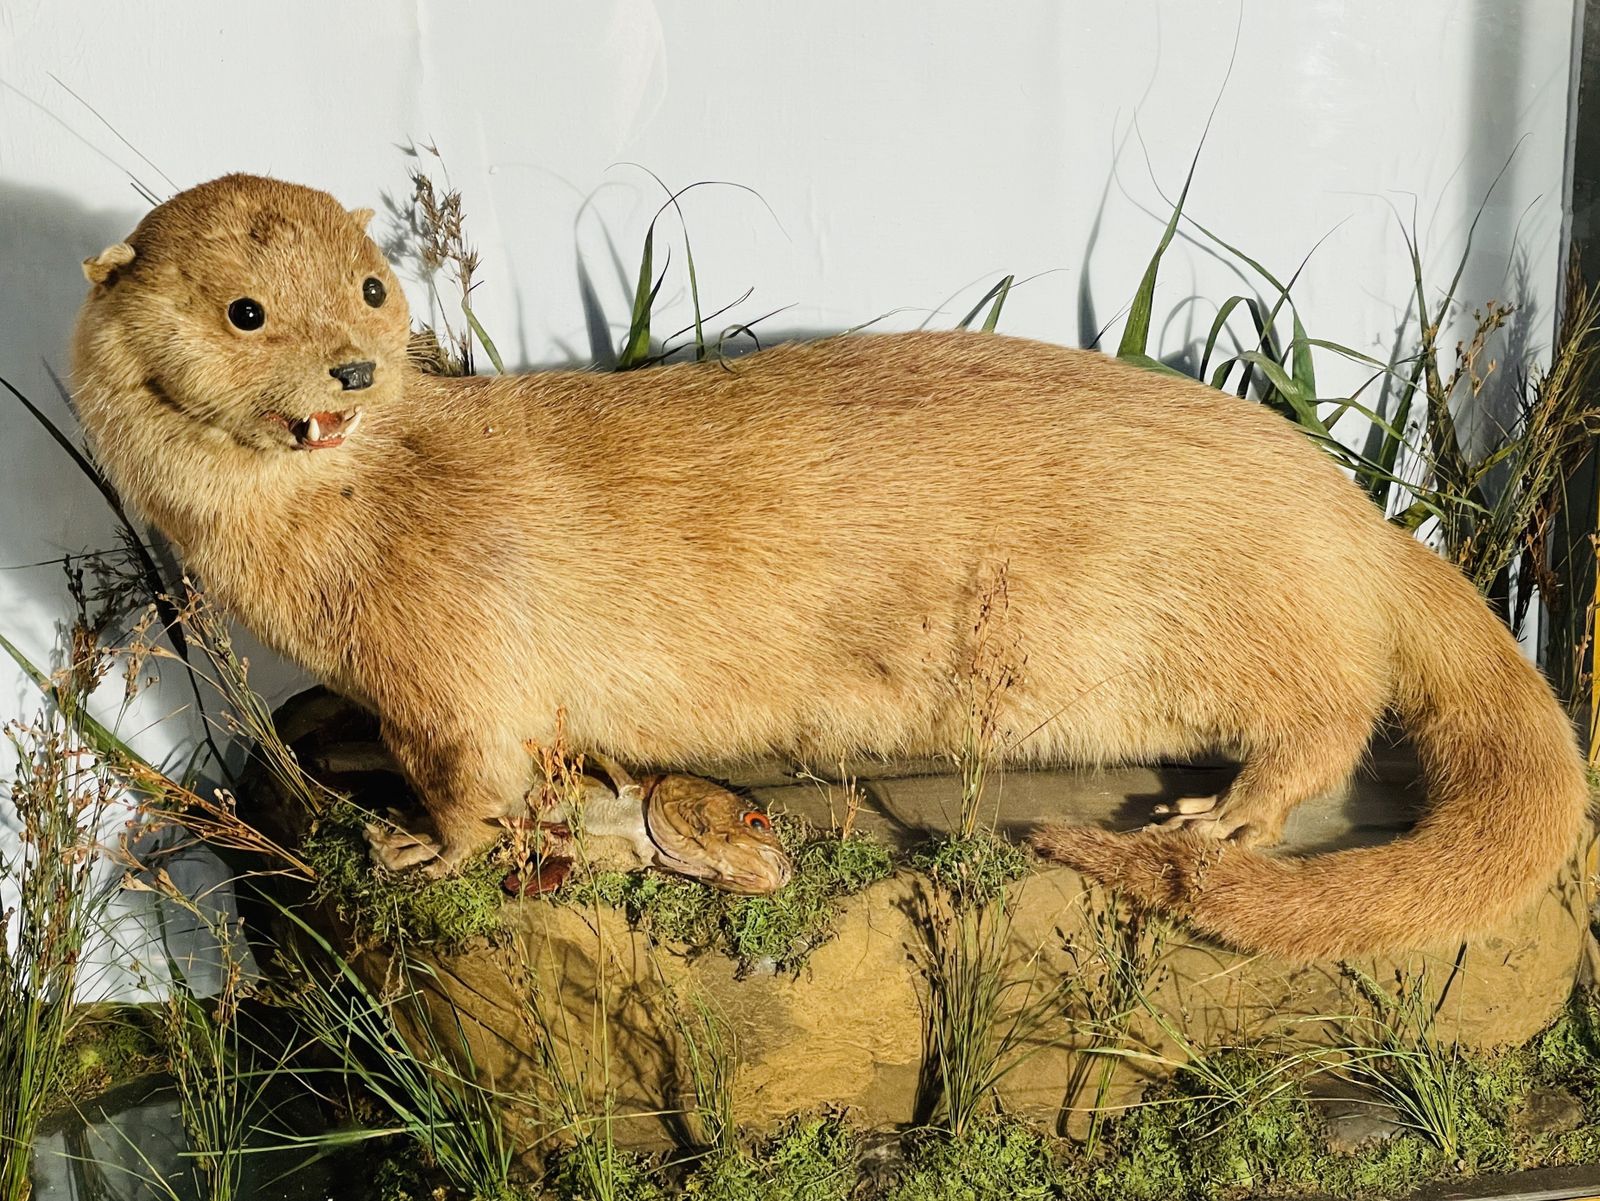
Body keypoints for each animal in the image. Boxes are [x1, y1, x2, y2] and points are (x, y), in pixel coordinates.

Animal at [71, 173, 1588, 960]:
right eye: (247, 310)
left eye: (373, 289)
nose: (350, 369)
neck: (358, 521)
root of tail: (1352, 510)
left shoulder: (453, 660)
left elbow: (472, 778)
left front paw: (412, 846)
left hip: (1246, 612)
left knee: (1330, 713)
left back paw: (1225, 814)